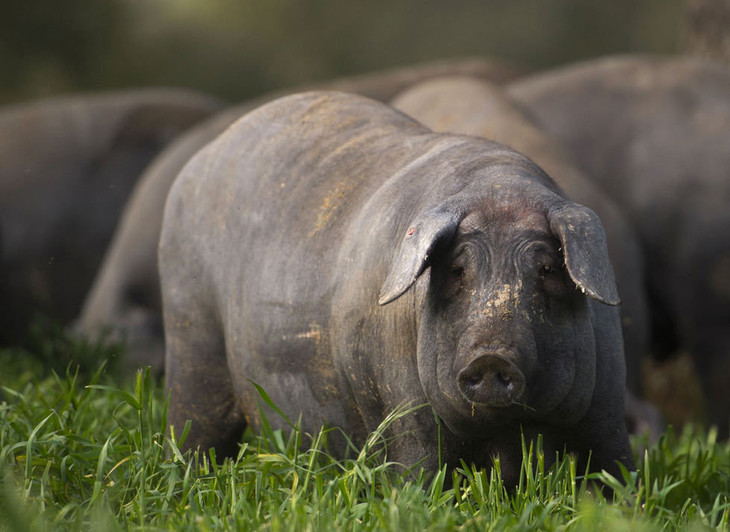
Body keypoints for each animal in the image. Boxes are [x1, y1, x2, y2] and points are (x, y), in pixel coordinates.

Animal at [159, 92, 632, 486]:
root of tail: (197, 162)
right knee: (195, 426)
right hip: (190, 334)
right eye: (456, 269)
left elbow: (615, 472)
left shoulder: (608, 404)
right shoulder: (404, 409)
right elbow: (417, 475)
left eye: (548, 268)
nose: (491, 356)